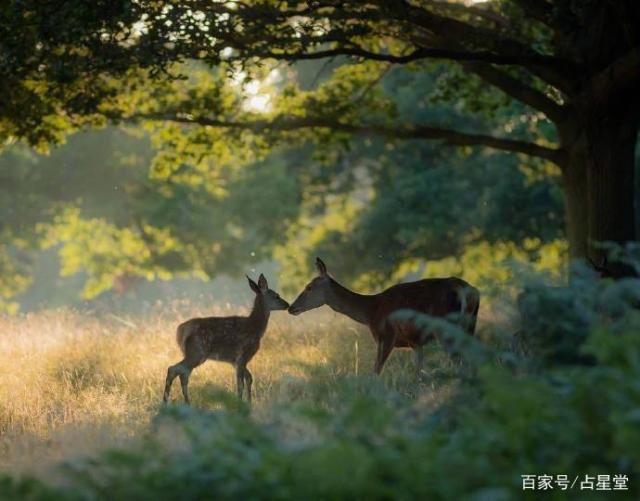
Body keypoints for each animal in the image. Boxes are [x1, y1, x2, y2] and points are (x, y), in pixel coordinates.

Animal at [164, 274, 288, 406]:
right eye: (276, 296)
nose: (288, 305)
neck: (255, 328)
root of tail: (180, 331)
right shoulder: (242, 355)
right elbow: (240, 384)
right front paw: (240, 404)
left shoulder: (236, 361)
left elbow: (249, 378)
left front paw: (249, 403)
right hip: (197, 352)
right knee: (174, 369)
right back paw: (167, 403)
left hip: (192, 353)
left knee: (183, 374)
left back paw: (186, 403)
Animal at [288, 260, 478, 374]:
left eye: (309, 287)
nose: (291, 308)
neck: (370, 312)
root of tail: (463, 289)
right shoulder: (415, 341)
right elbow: (418, 371)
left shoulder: (386, 335)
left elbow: (376, 371)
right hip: (470, 324)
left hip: (445, 327)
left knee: (459, 360)